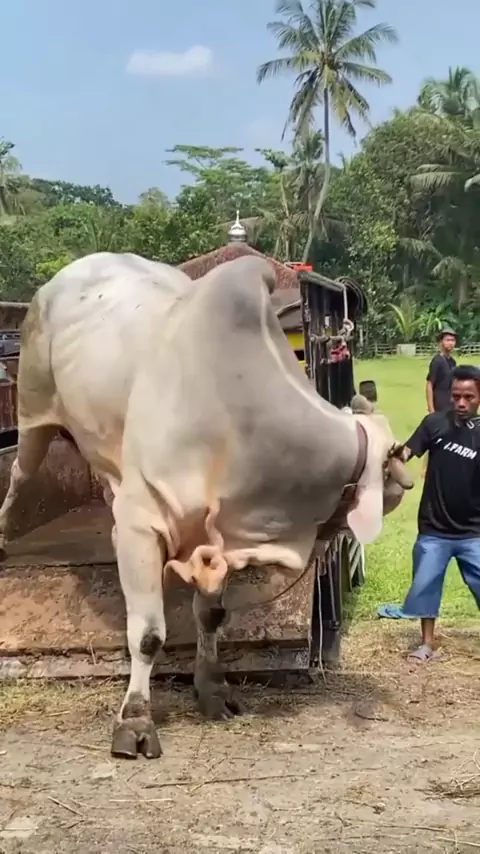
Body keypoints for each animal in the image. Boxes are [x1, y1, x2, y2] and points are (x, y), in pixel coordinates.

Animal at [0, 252, 412, 759]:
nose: (407, 482)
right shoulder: (143, 524)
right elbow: (148, 634)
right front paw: (135, 721)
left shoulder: (222, 538)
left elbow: (211, 615)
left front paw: (211, 688)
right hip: (33, 410)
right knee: (22, 472)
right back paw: (5, 531)